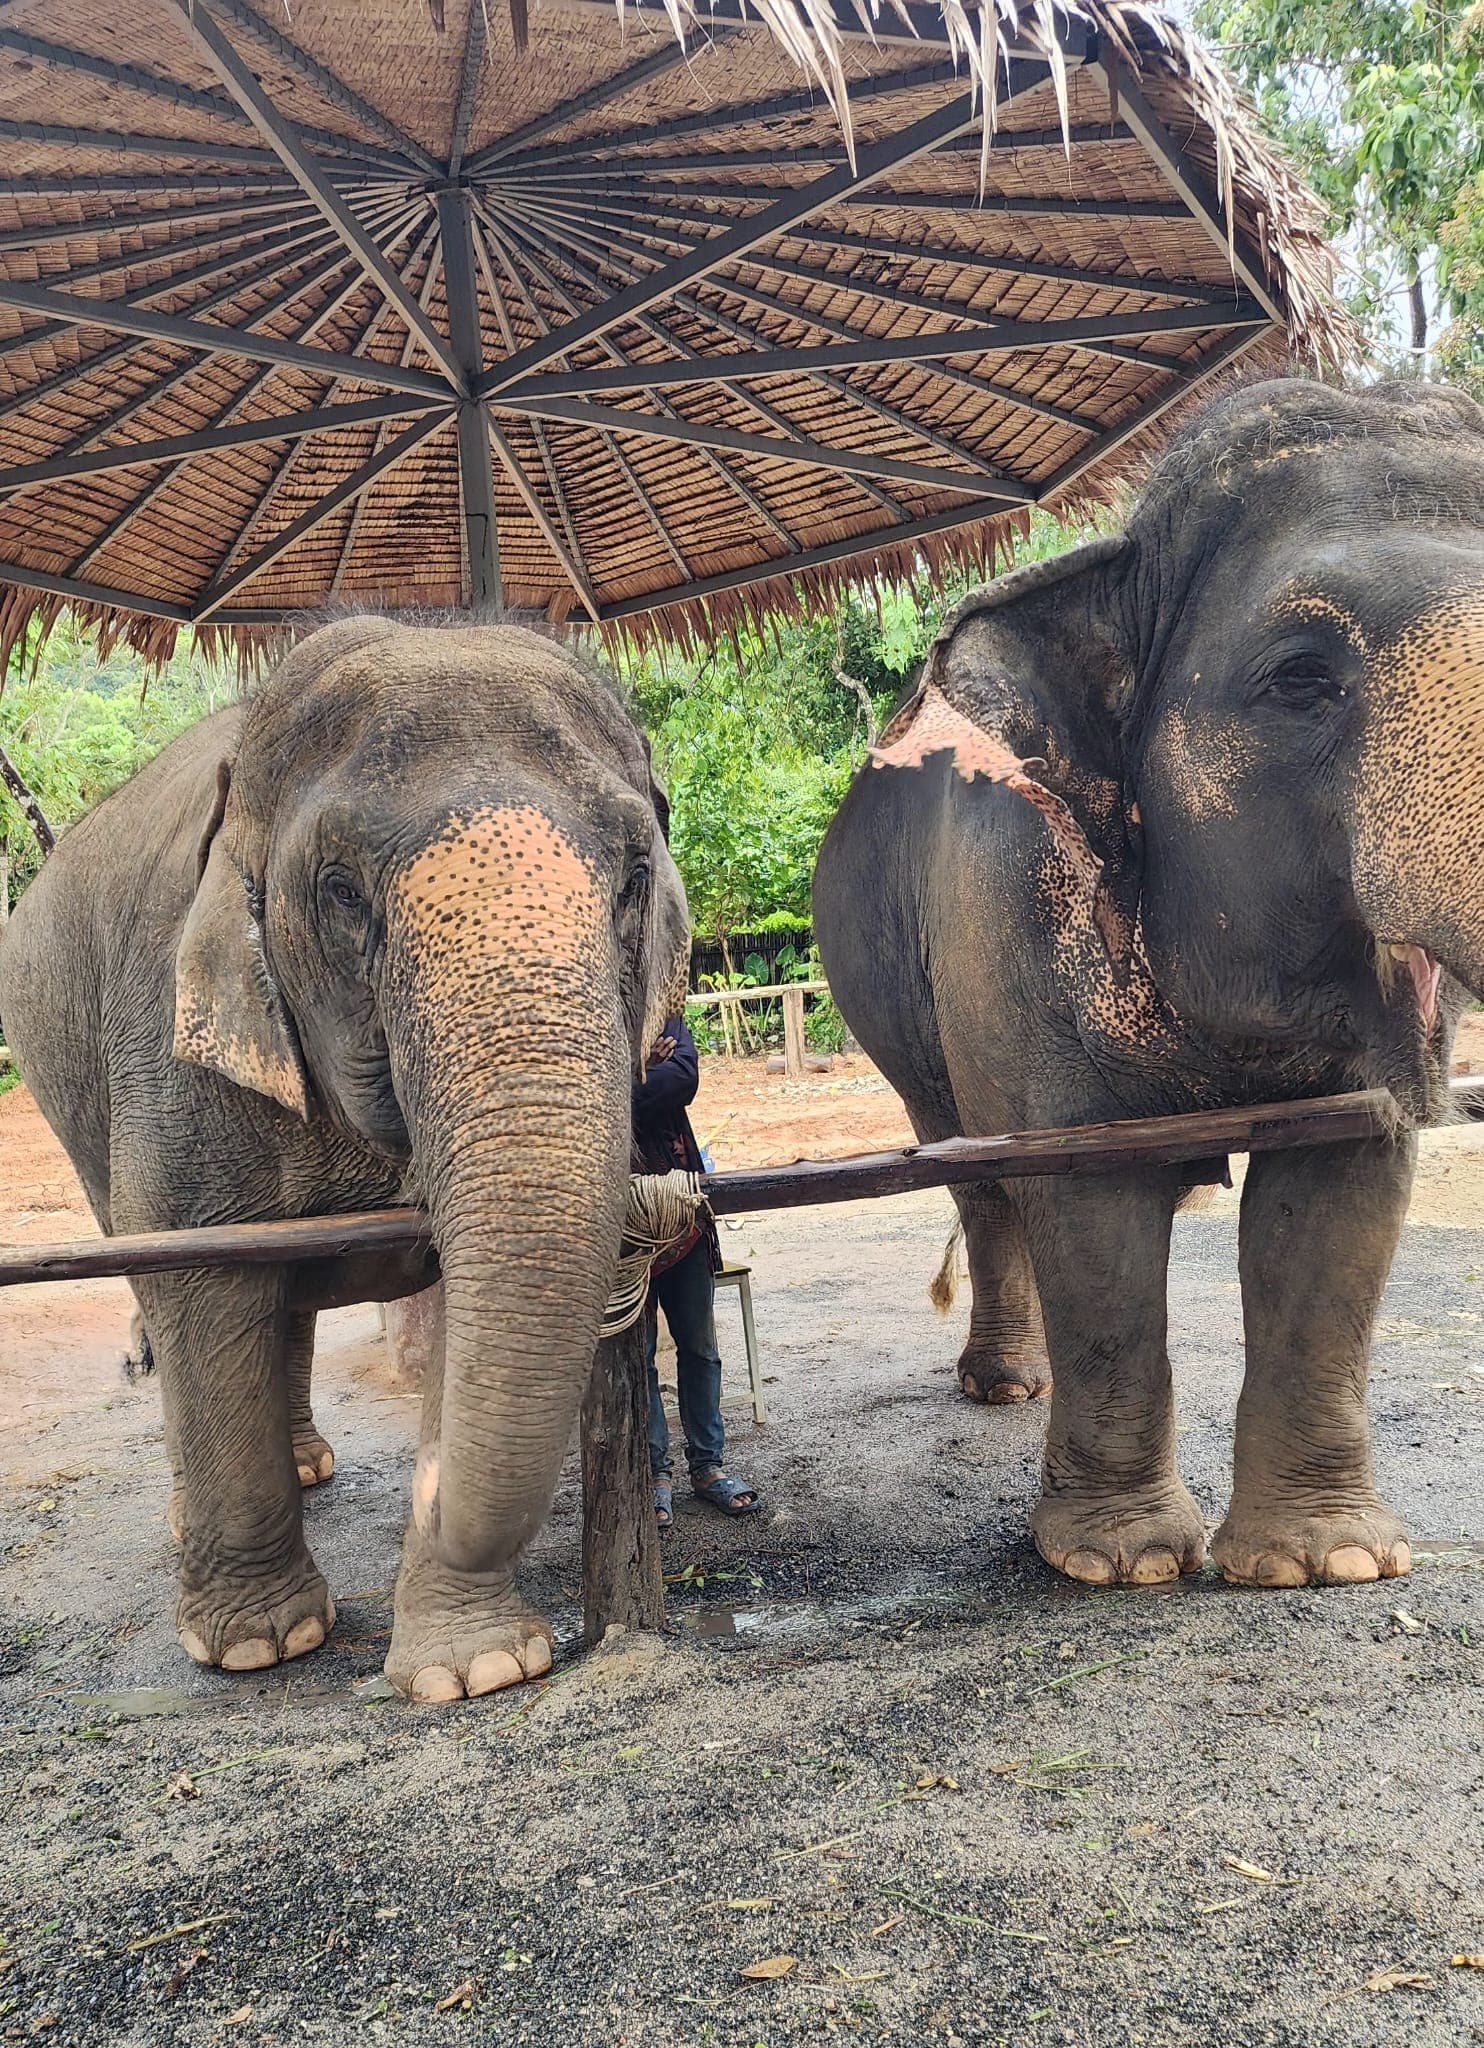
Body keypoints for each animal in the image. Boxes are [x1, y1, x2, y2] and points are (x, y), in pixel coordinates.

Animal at [0, 616, 690, 1699]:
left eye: (631, 879)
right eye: (340, 894)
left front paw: (477, 1669)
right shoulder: (166, 1047)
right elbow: (199, 1275)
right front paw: (259, 1648)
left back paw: (308, 1470)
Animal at [813, 377, 1484, 1594]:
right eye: (1300, 678)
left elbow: (1338, 1197)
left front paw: (1327, 1563)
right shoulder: (1010, 907)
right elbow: (1092, 1203)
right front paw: (1118, 1567)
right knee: (980, 1176)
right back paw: (1005, 1386)